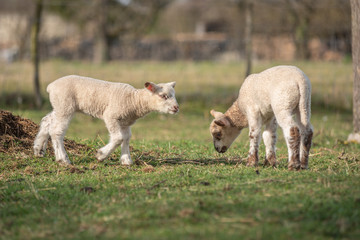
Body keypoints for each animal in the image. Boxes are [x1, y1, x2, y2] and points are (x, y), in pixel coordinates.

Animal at [33, 75, 179, 165]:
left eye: (174, 95)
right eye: (163, 96)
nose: (176, 108)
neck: (134, 100)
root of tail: (51, 86)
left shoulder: (125, 122)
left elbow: (126, 138)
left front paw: (126, 160)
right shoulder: (111, 116)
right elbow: (119, 138)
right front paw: (101, 155)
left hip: (59, 106)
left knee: (47, 121)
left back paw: (39, 150)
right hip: (65, 105)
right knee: (57, 131)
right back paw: (63, 159)